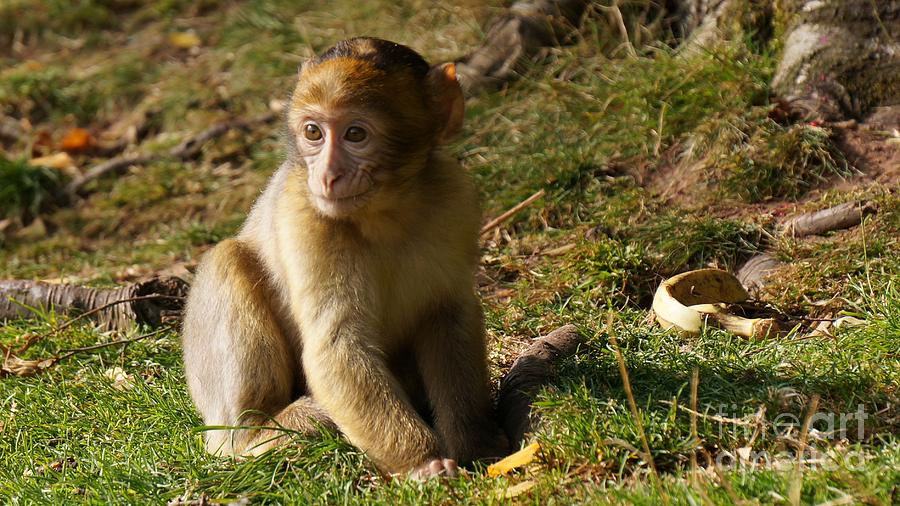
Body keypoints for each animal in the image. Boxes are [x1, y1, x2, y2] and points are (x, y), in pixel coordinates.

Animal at [181, 37, 506, 476]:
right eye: (313, 132)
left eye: (355, 134)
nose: (327, 175)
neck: (385, 213)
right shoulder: (305, 215)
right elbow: (336, 345)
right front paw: (423, 462)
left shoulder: (455, 199)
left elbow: (448, 316)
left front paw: (477, 443)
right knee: (225, 259)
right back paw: (269, 431)